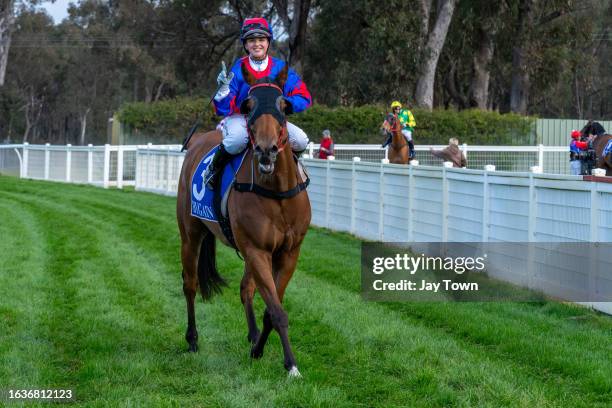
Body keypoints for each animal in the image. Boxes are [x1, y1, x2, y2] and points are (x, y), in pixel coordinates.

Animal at [176, 63, 310, 376]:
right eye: (248, 105)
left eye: (283, 106)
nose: (266, 149)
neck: (277, 193)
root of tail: (198, 139)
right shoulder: (257, 249)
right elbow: (277, 310)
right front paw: (291, 365)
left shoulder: (288, 252)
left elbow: (271, 308)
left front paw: (259, 349)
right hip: (190, 233)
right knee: (190, 284)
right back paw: (192, 339)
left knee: (245, 288)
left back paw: (251, 336)